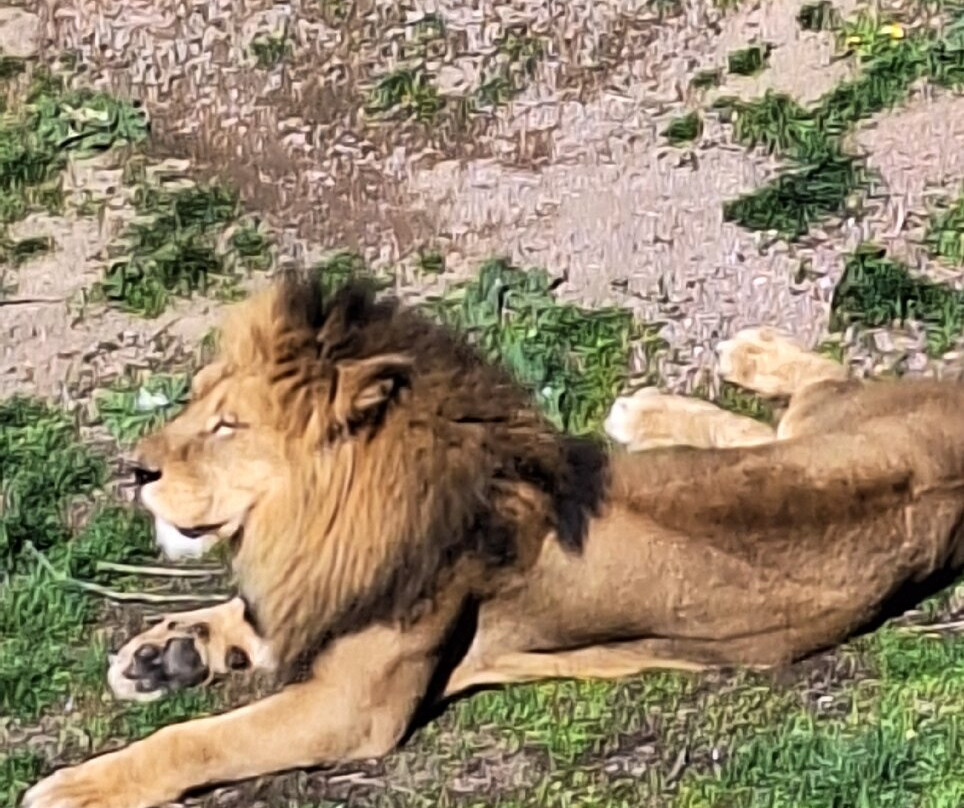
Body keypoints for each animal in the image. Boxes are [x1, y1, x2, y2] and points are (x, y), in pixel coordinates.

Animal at [24, 277, 964, 808]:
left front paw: (79, 785)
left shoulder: (354, 710)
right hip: (803, 439)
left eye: (226, 426)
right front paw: (167, 653)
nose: (134, 470)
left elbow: (199, 740)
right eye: (194, 403)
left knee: (830, 376)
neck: (328, 519)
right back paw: (667, 402)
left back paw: (742, 356)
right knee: (769, 420)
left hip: (847, 419)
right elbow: (249, 616)